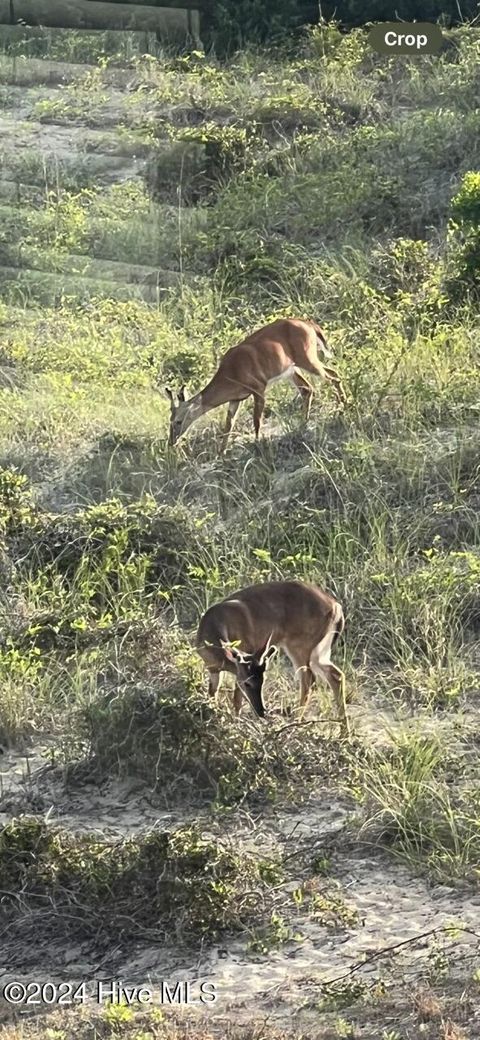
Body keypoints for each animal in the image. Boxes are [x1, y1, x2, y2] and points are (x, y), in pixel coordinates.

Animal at [164, 314, 344, 449]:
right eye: (170, 421)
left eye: (178, 421)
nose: (171, 442)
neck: (231, 375)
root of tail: (308, 324)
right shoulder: (235, 399)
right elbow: (228, 426)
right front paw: (221, 454)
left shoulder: (258, 387)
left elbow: (256, 421)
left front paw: (257, 443)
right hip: (291, 369)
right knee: (308, 389)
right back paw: (304, 423)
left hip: (307, 357)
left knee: (334, 375)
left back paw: (342, 408)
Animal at [195, 578, 349, 740]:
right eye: (248, 683)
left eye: (262, 681)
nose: (261, 712)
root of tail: (337, 608)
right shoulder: (213, 668)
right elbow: (212, 694)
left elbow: (236, 698)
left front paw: (234, 725)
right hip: (320, 652)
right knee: (336, 675)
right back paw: (344, 733)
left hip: (300, 645)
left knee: (309, 679)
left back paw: (295, 723)